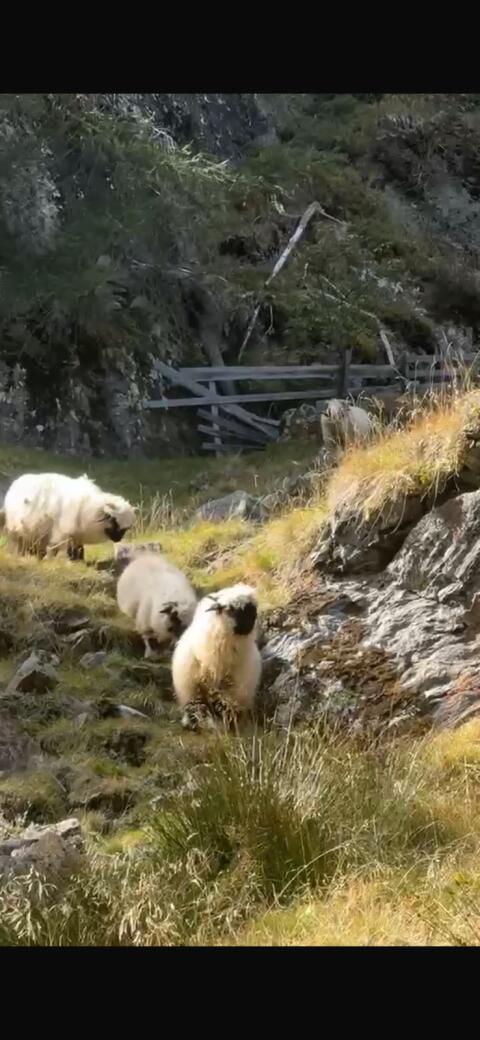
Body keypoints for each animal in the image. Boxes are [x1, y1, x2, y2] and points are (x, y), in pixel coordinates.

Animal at [3, 472, 136, 561]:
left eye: (126, 528)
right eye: (114, 522)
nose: (118, 539)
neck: (87, 508)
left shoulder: (76, 533)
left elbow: (78, 548)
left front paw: (78, 560)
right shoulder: (62, 531)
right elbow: (59, 547)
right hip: (18, 530)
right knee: (19, 544)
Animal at [171, 583, 262, 730]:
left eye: (253, 610)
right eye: (231, 610)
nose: (250, 624)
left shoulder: (232, 692)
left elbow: (224, 709)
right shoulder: (195, 687)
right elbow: (198, 707)